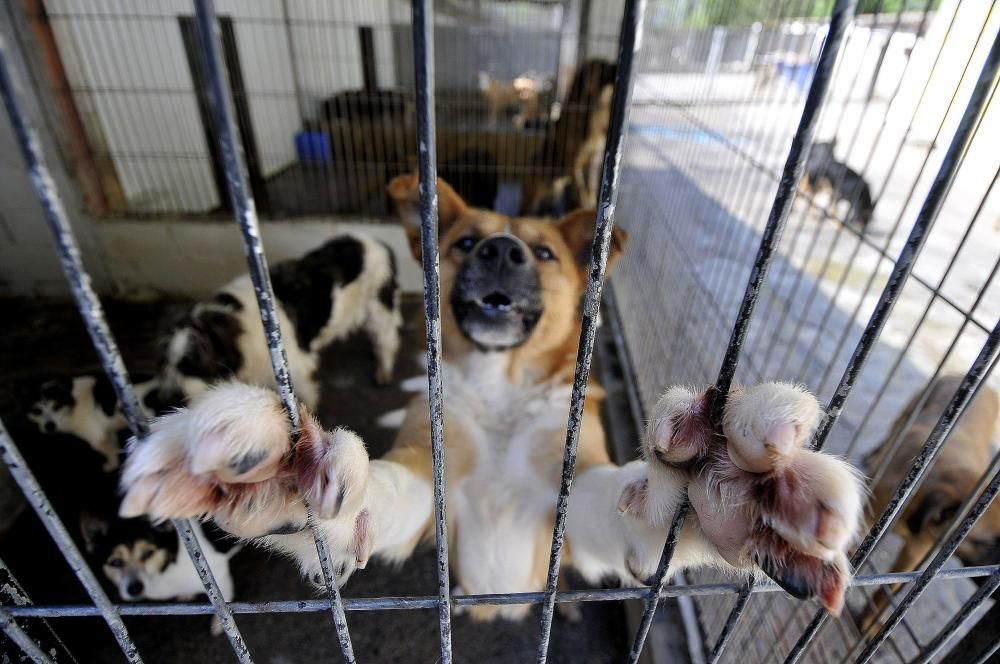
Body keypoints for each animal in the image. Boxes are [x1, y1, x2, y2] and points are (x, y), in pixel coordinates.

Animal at [154, 233, 400, 410]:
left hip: (379, 307)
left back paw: (383, 371)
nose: (164, 401)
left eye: (191, 363)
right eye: (164, 362)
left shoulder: (296, 368)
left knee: (387, 339)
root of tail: (379, 243)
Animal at [860, 376, 1000, 632]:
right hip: (908, 412)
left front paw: (870, 622)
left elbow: (887, 590)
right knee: (891, 434)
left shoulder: (915, 553)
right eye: (986, 544)